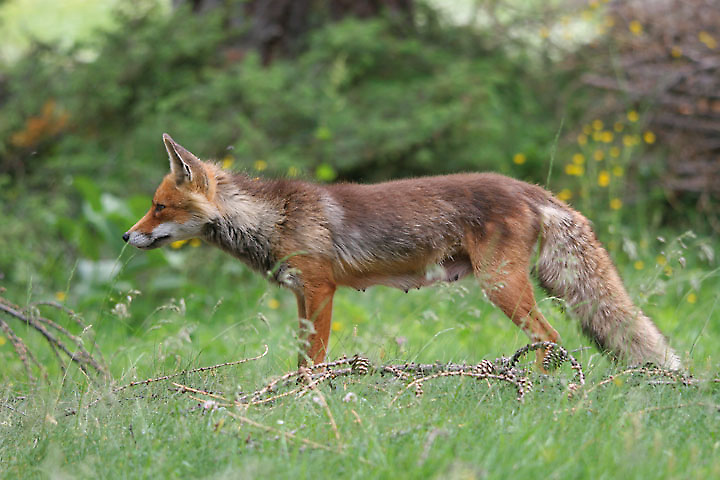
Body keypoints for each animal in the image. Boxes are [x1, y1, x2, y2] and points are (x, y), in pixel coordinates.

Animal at [122, 135, 680, 372]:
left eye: (158, 207)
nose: (127, 237)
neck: (274, 218)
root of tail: (532, 189)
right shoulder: (302, 296)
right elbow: (301, 357)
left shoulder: (321, 291)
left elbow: (314, 361)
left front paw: (308, 401)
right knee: (554, 339)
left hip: (502, 286)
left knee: (552, 339)